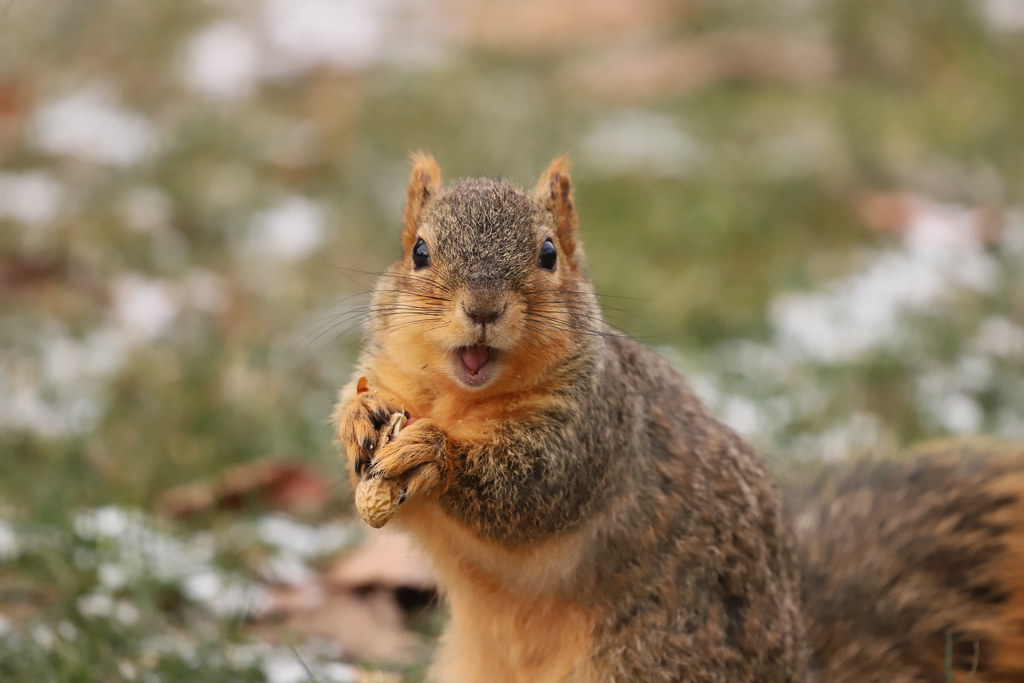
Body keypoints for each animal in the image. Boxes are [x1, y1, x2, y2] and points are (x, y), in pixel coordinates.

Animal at [333, 154, 1024, 683]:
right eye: (419, 252)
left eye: (549, 254)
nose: (481, 308)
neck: (460, 399)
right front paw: (358, 419)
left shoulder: (597, 429)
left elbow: (530, 492)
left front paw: (435, 454)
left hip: (653, 658)